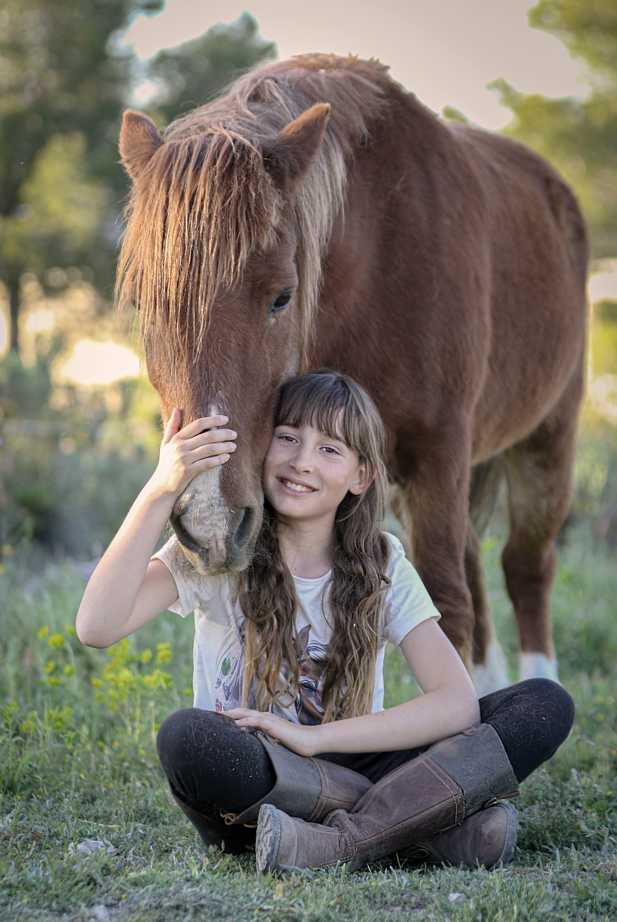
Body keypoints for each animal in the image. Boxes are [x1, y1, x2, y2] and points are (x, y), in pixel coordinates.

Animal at [117, 54, 588, 693]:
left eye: (282, 297)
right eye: (142, 304)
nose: (211, 524)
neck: (377, 266)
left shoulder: (441, 452)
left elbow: (449, 603)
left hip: (548, 439)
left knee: (526, 568)